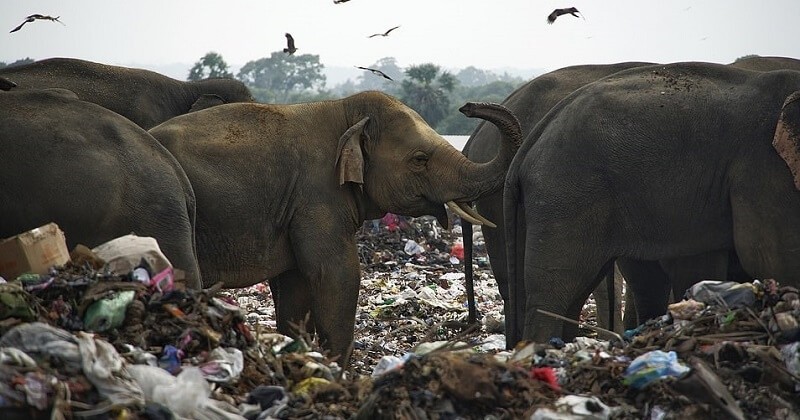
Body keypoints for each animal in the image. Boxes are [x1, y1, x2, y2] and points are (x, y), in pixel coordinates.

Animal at [147, 91, 520, 364]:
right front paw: (337, 368)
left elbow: (296, 283)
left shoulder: (294, 208)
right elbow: (336, 274)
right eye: (419, 159)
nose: (468, 106)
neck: (345, 111)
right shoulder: (317, 195)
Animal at [504, 62, 800, 344]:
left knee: (581, 289)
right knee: (554, 289)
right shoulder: (764, 165)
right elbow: (769, 256)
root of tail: (535, 137)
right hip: (565, 193)